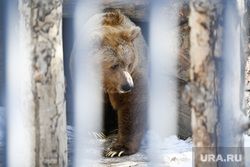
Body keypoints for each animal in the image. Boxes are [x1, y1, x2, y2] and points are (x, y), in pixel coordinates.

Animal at [71, 12, 148, 157]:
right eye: (114, 65)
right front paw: (94, 132)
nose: (128, 86)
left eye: (128, 63)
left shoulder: (135, 72)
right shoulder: (86, 77)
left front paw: (118, 149)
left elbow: (131, 105)